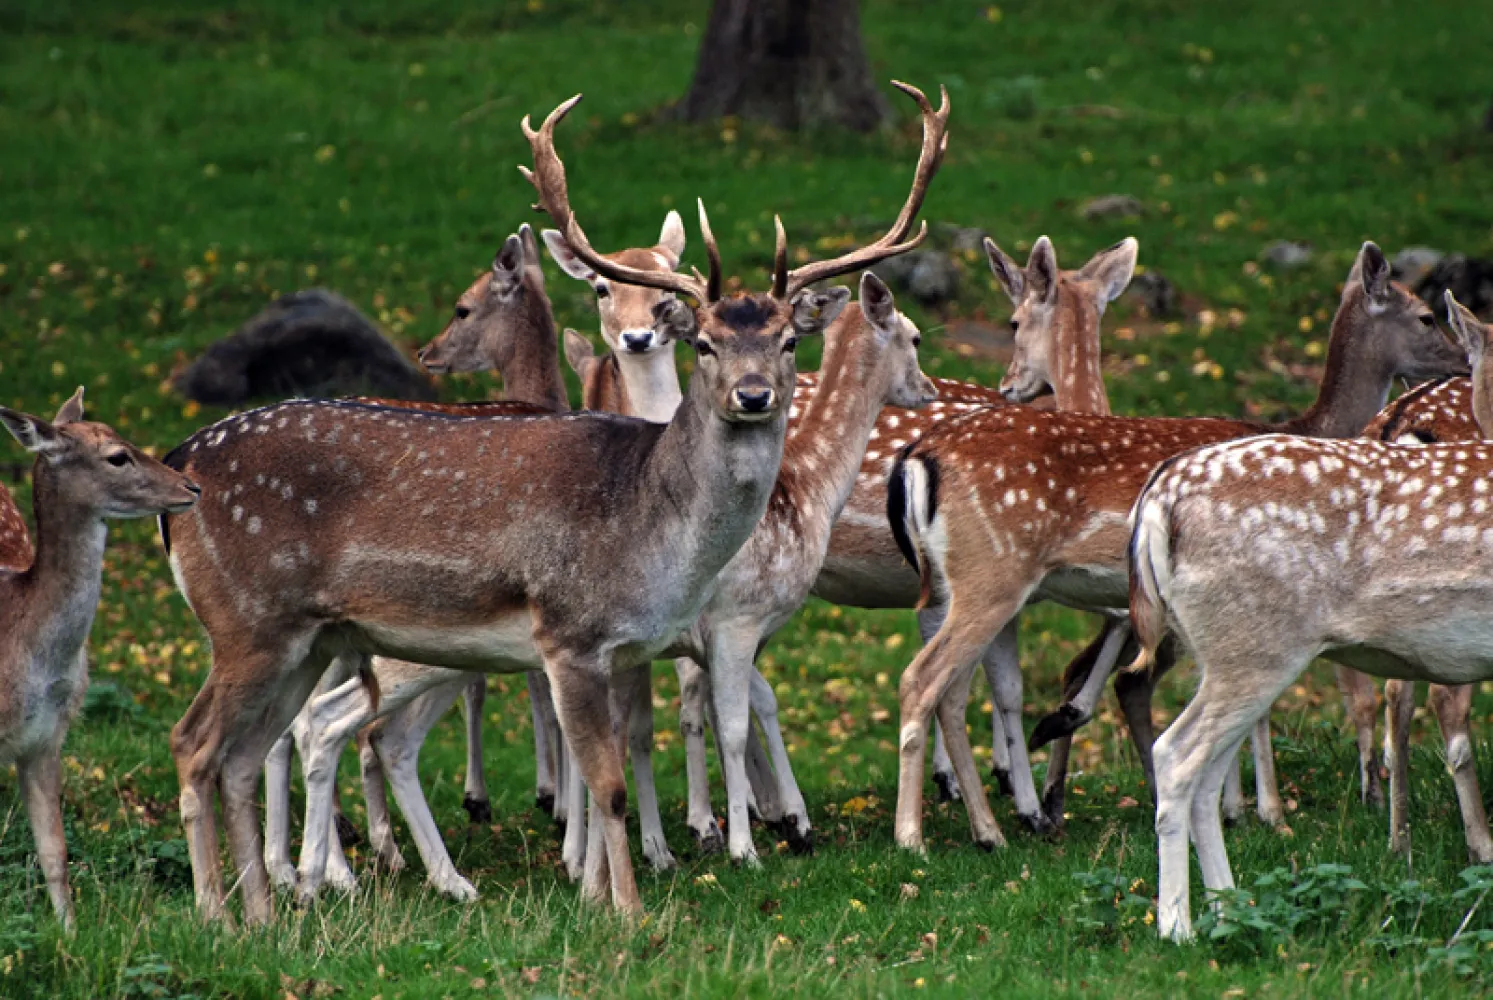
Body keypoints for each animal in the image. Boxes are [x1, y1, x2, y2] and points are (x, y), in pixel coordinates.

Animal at [160, 86, 931, 925]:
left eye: (790, 341)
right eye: (705, 344)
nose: (753, 395)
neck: (652, 524)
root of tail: (179, 465)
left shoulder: (628, 650)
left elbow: (618, 764)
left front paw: (596, 887)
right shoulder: (577, 633)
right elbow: (614, 781)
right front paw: (638, 903)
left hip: (312, 639)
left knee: (250, 753)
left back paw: (271, 911)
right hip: (252, 621)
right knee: (200, 743)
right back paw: (228, 910)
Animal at [883, 243, 1469, 853]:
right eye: (1427, 317)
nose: (1464, 363)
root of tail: (917, 458)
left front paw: (1231, 805)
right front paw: (1265, 812)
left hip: (963, 583)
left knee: (954, 691)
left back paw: (994, 827)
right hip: (992, 574)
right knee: (923, 679)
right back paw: (917, 836)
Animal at [1122, 292, 1493, 949]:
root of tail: (1158, 498)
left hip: (1222, 650)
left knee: (1207, 777)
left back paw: (1231, 911)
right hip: (1255, 646)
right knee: (1177, 756)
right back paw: (1177, 927)